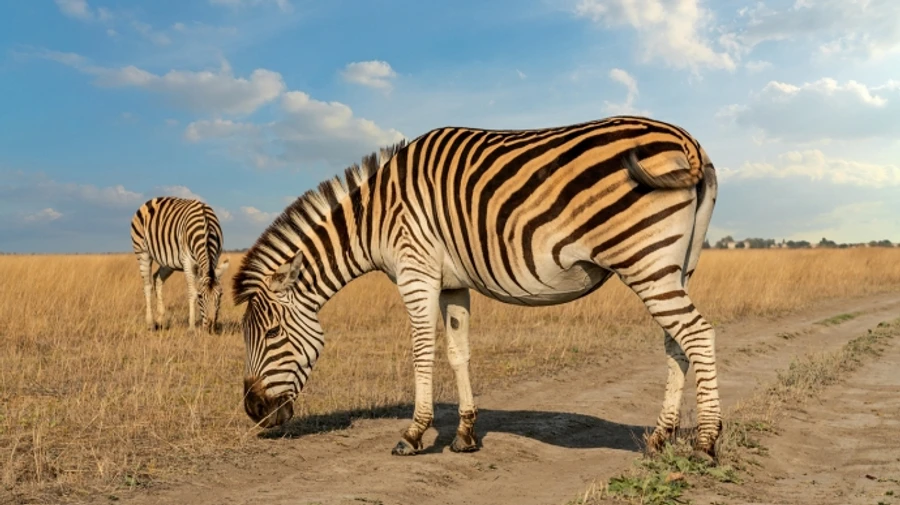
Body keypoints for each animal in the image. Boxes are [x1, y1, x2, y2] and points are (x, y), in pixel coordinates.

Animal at [131, 196, 230, 333]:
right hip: (143, 253)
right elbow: (191, 292)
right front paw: (192, 327)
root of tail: (152, 200)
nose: (210, 328)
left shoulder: (215, 258)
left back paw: (160, 320)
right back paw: (150, 324)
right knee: (147, 286)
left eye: (220, 295)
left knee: (157, 279)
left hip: (168, 262)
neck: (206, 229)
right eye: (200, 296)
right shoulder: (187, 261)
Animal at [232, 115, 722, 460]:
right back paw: (660, 438)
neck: (375, 217)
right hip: (675, 266)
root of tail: (686, 138)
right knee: (677, 343)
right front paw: (465, 434)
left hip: (645, 260)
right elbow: (457, 352)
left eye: (271, 334)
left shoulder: (416, 272)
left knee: (697, 334)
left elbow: (422, 352)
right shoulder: (452, 285)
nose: (253, 411)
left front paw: (413, 434)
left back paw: (706, 443)